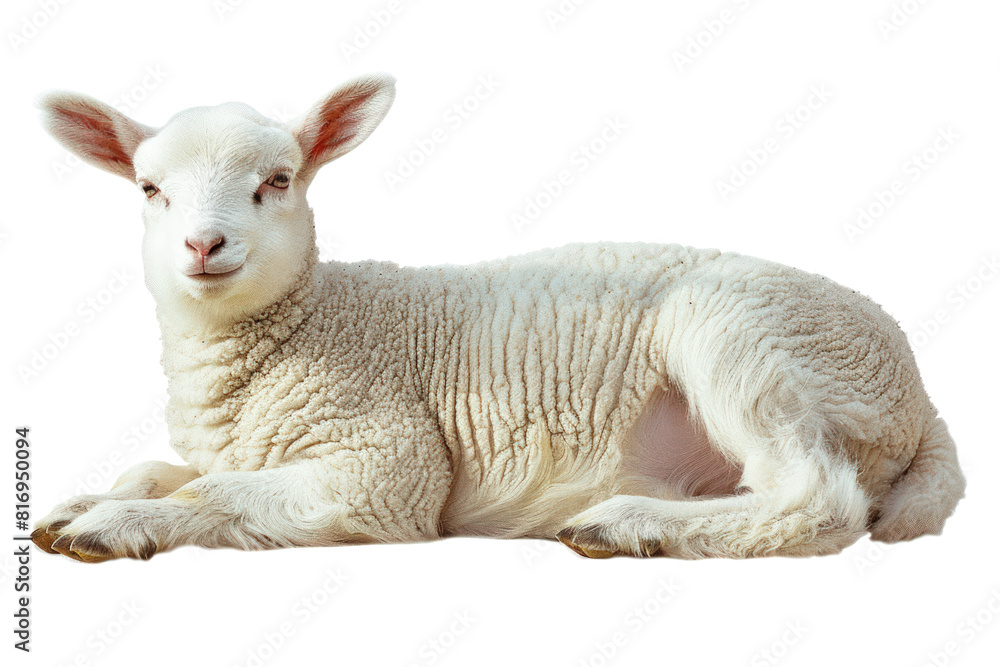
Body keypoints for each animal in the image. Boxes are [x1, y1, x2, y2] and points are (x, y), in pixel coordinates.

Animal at [31, 73, 965, 562]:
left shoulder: (386, 464)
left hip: (753, 334)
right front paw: (81, 501)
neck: (314, 322)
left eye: (279, 180)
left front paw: (110, 527)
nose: (203, 243)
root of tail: (923, 401)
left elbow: (215, 489)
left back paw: (625, 525)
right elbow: (156, 468)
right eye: (149, 188)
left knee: (817, 499)